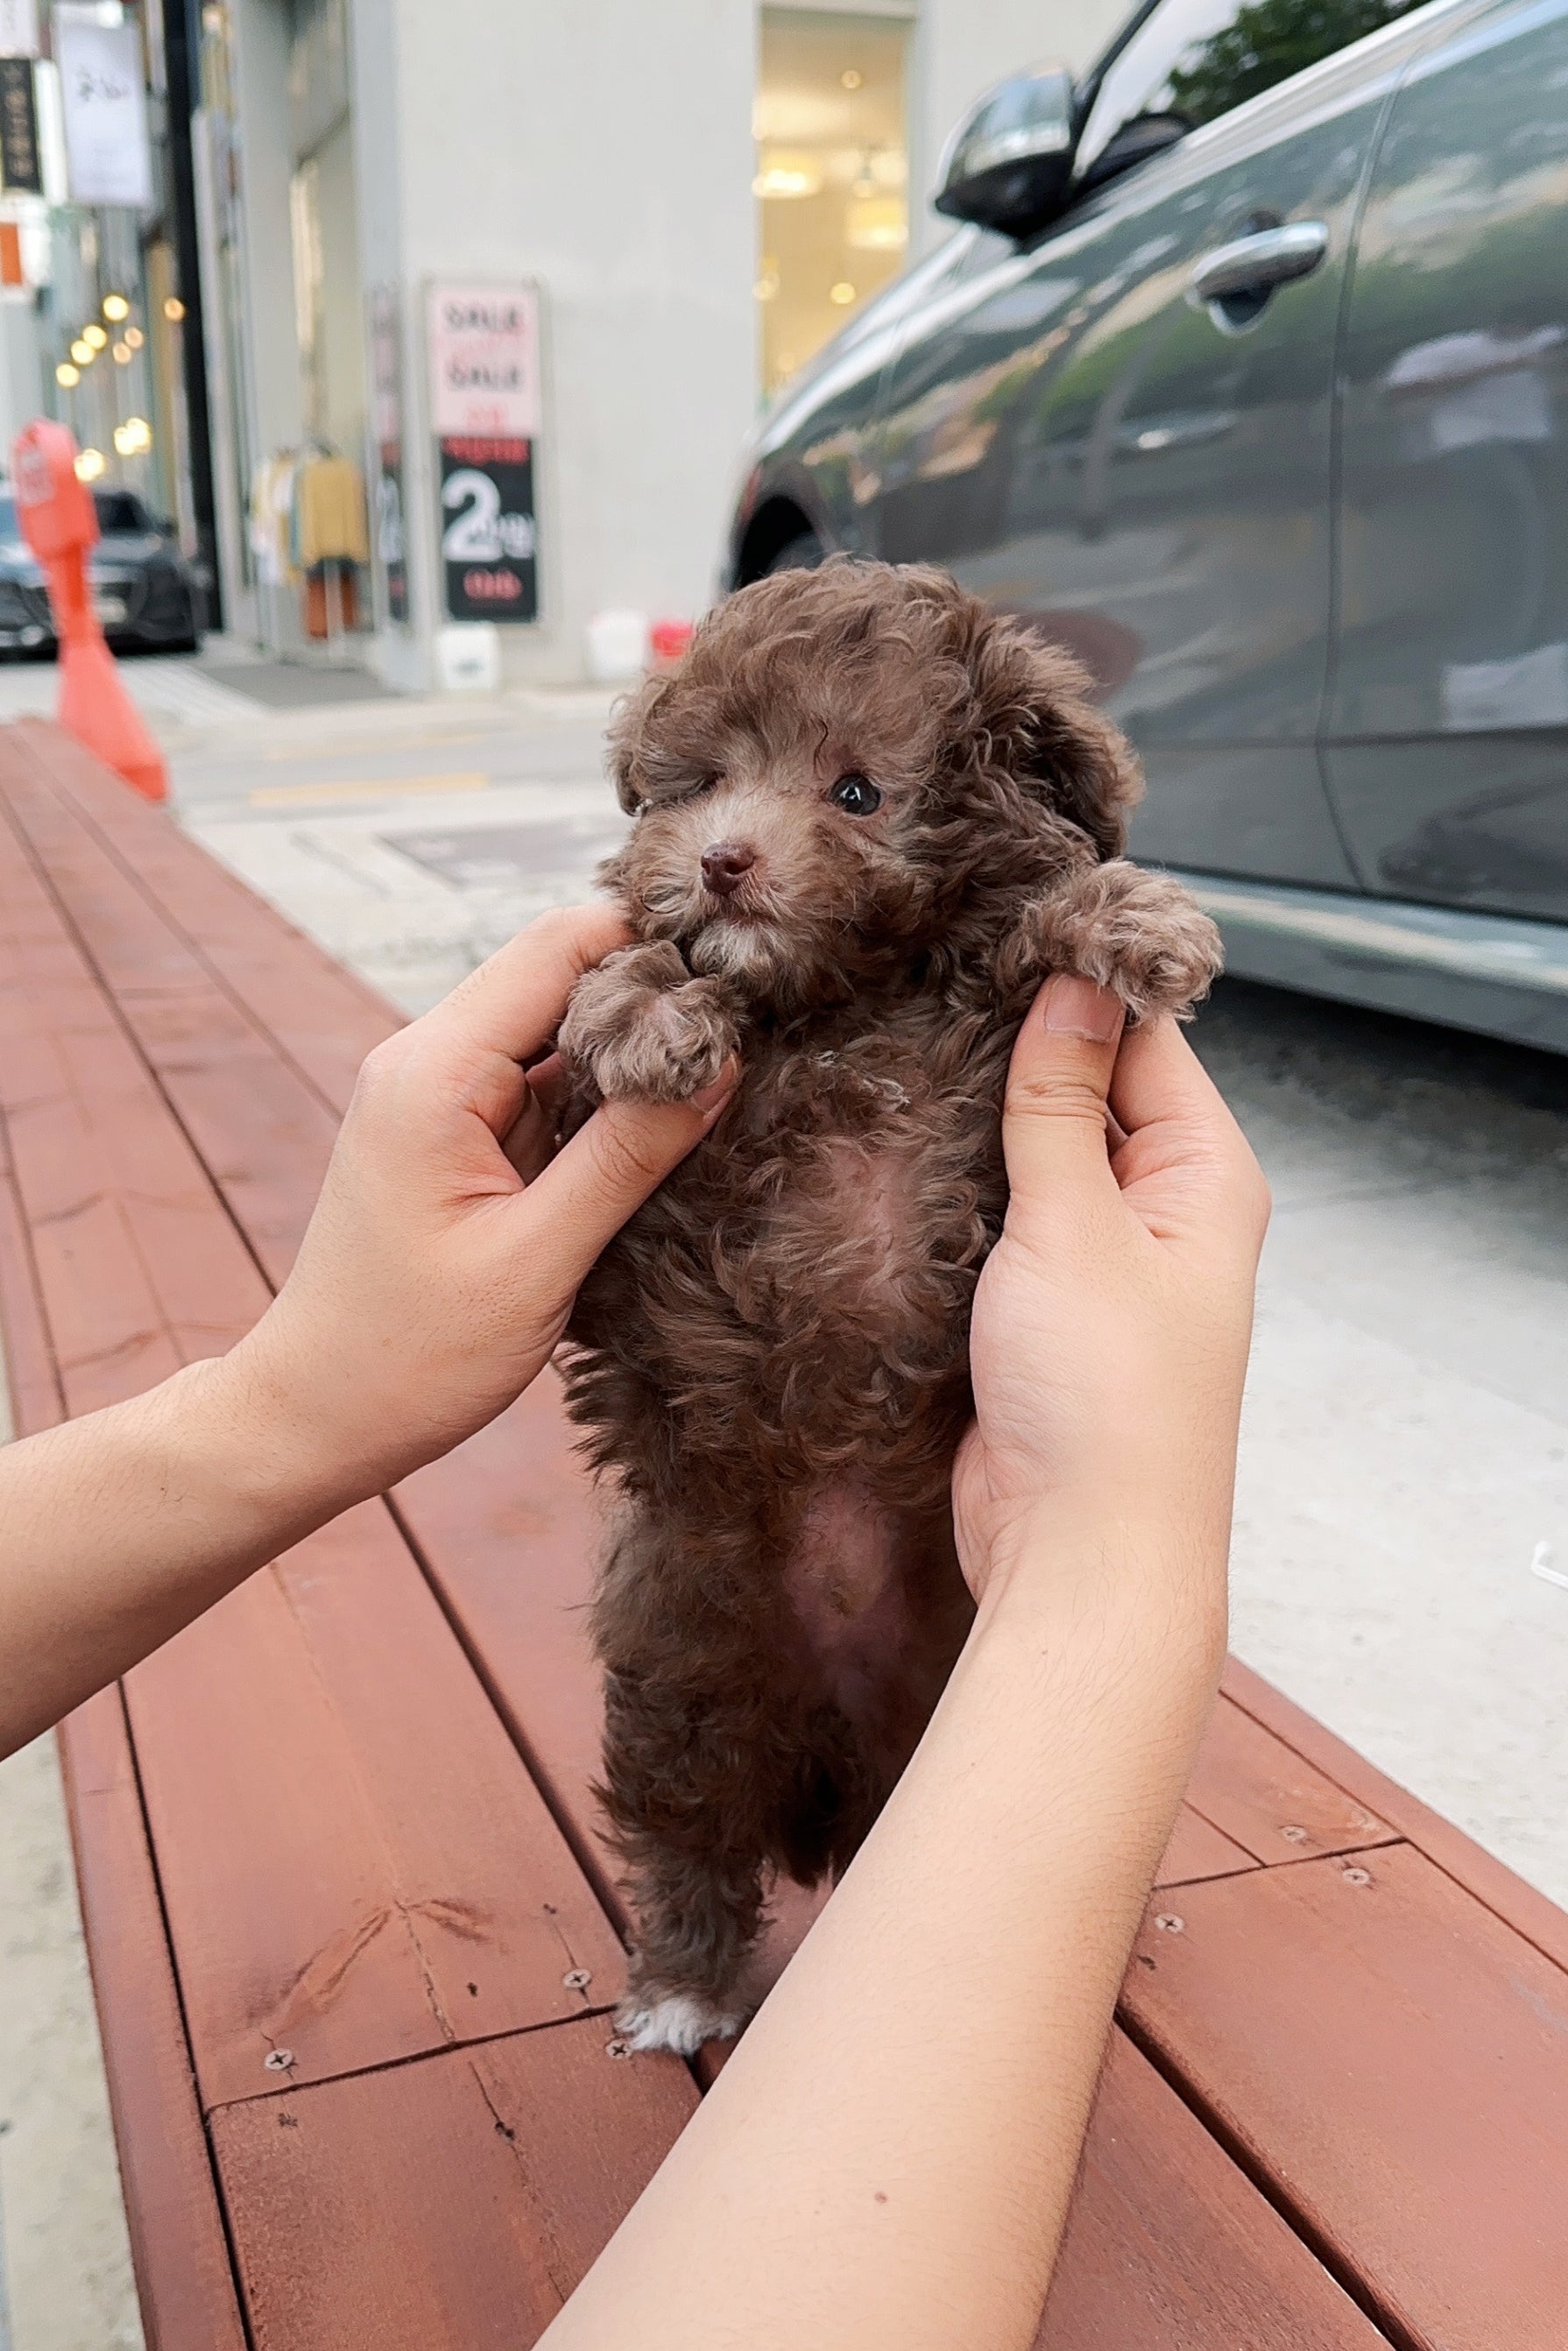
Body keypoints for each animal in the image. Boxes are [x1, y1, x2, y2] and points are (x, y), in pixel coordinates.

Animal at [557, 559, 1222, 2050]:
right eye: (699, 785)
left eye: (856, 790)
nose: (721, 861)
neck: (842, 1004)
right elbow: (615, 1001)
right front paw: (647, 1005)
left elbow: (1030, 943)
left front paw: (1123, 918)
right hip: (683, 1675)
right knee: (685, 1835)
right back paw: (680, 1986)